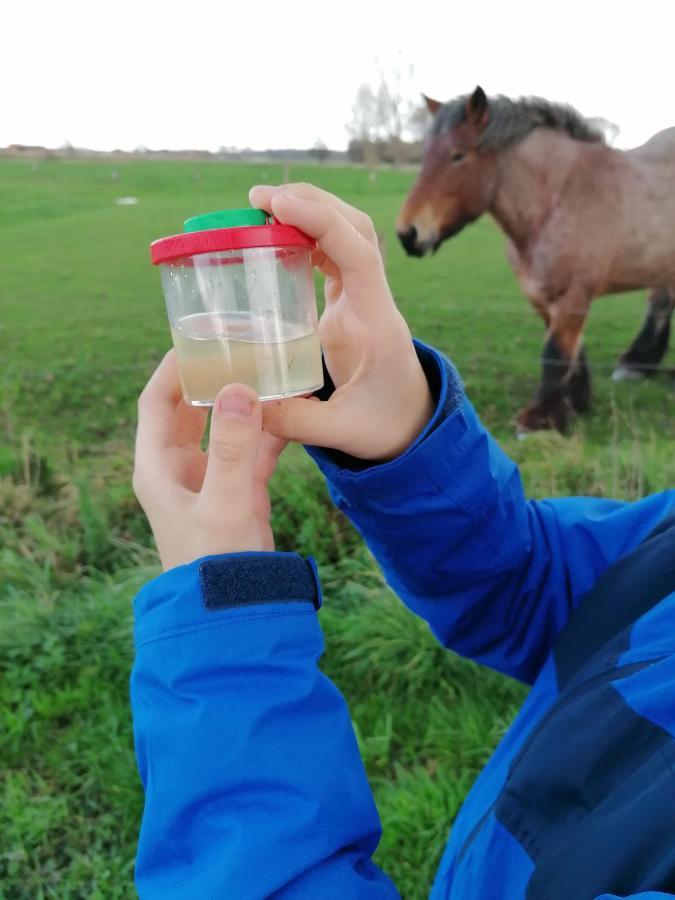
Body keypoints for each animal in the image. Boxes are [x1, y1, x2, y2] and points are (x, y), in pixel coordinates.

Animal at [396, 86, 675, 430]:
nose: (408, 233)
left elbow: (554, 353)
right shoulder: (542, 295)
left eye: (458, 155)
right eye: (425, 156)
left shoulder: (573, 296)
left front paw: (538, 417)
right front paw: (574, 404)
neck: (559, 197)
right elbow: (569, 351)